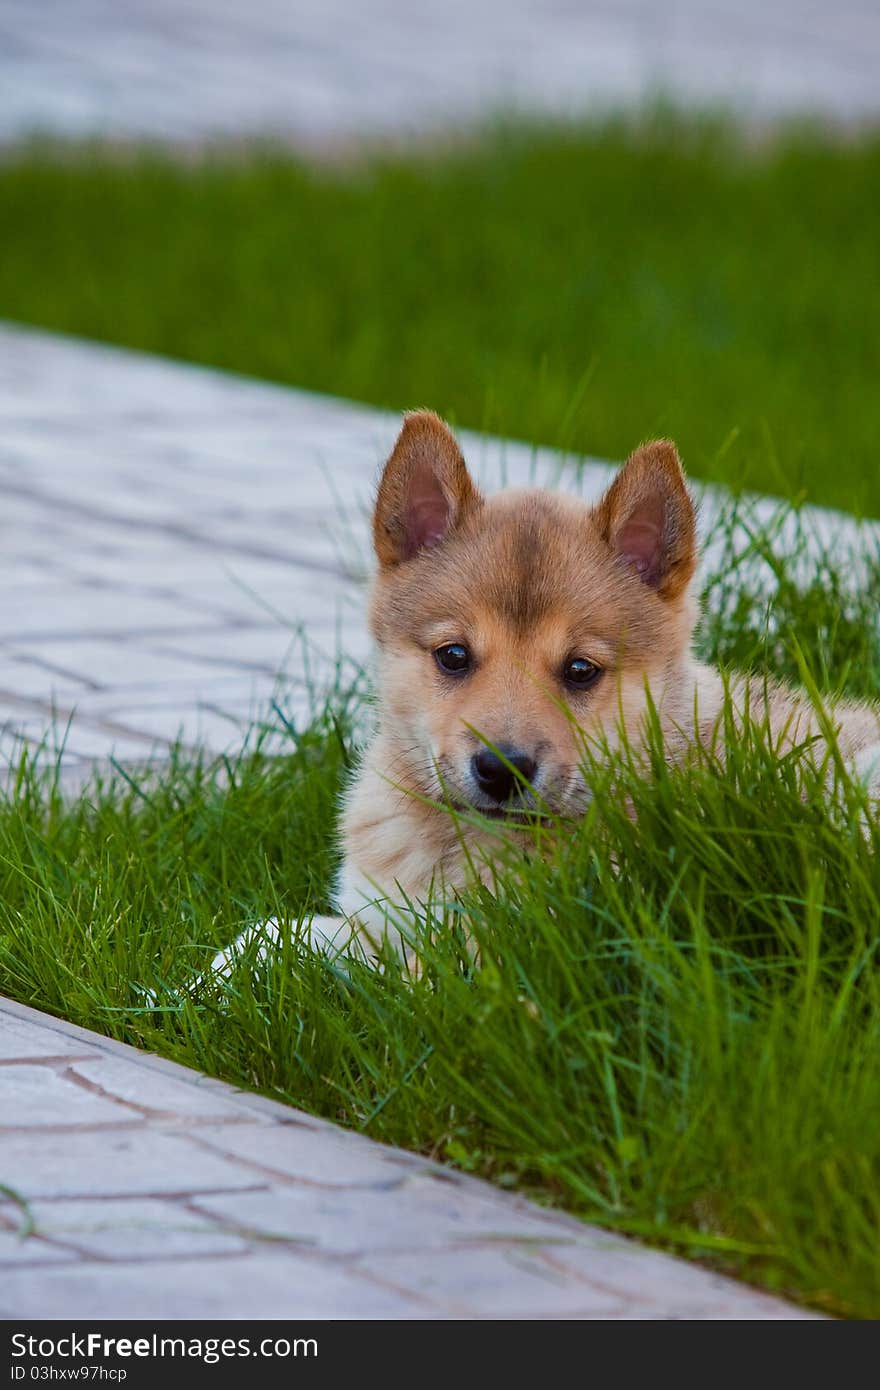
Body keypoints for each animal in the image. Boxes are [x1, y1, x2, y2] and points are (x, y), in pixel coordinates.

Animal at [207, 411, 878, 978]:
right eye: (454, 656)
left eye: (580, 670)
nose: (502, 770)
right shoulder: (375, 913)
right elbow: (272, 935)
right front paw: (201, 987)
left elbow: (412, 975)